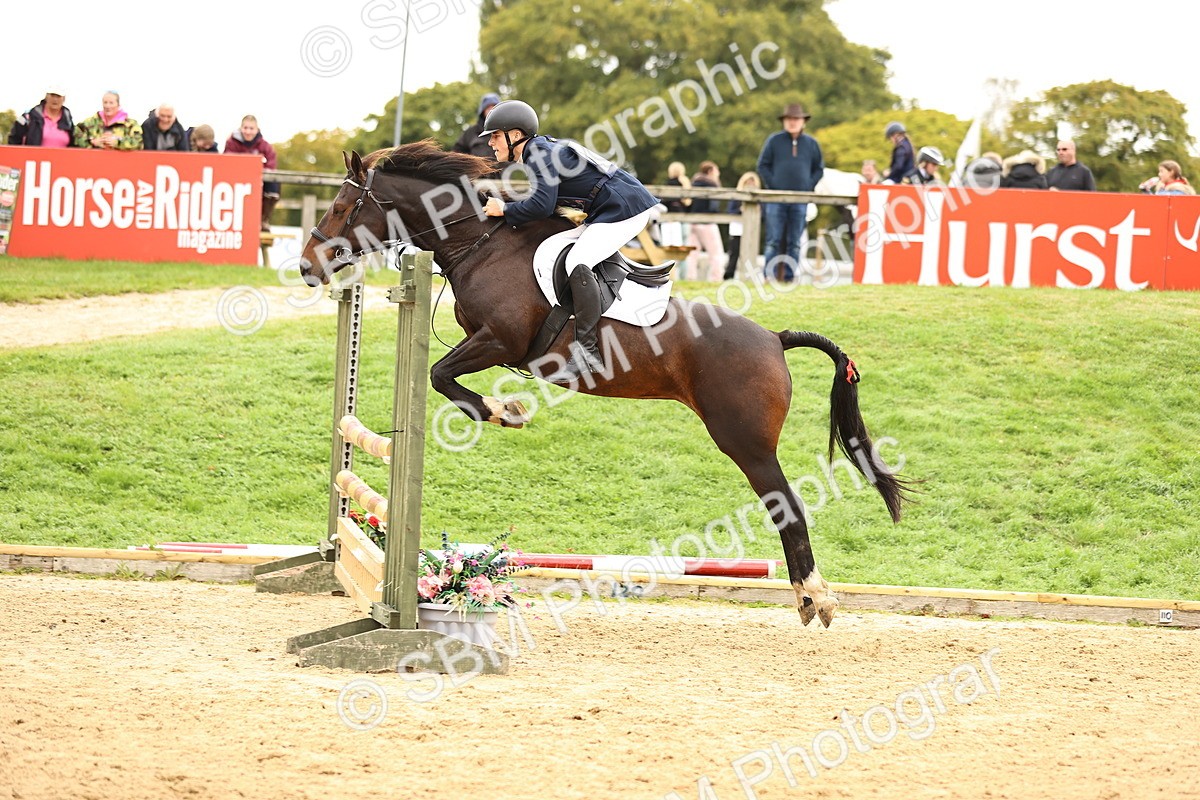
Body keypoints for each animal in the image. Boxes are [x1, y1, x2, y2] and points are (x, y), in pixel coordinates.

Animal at [298, 140, 910, 628]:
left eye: (343, 206)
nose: (306, 267)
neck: (483, 243)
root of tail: (774, 339)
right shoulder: (488, 342)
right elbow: (443, 375)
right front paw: (505, 409)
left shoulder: (501, 340)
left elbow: (440, 375)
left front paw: (505, 410)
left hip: (744, 441)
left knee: (788, 506)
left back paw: (814, 598)